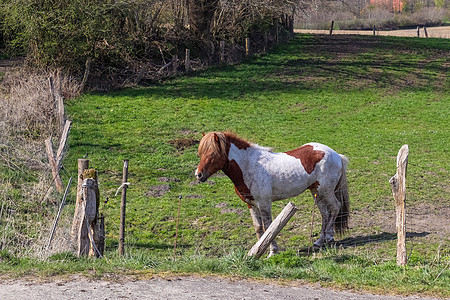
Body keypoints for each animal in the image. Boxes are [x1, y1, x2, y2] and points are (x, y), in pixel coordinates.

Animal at [195, 131, 350, 255]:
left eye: (213, 153)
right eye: (200, 153)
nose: (199, 174)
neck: (248, 166)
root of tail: (336, 155)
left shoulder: (264, 203)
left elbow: (268, 227)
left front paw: (272, 251)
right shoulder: (251, 205)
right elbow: (258, 228)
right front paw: (258, 251)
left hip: (326, 191)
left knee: (335, 207)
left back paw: (328, 237)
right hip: (316, 192)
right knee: (325, 214)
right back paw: (319, 241)